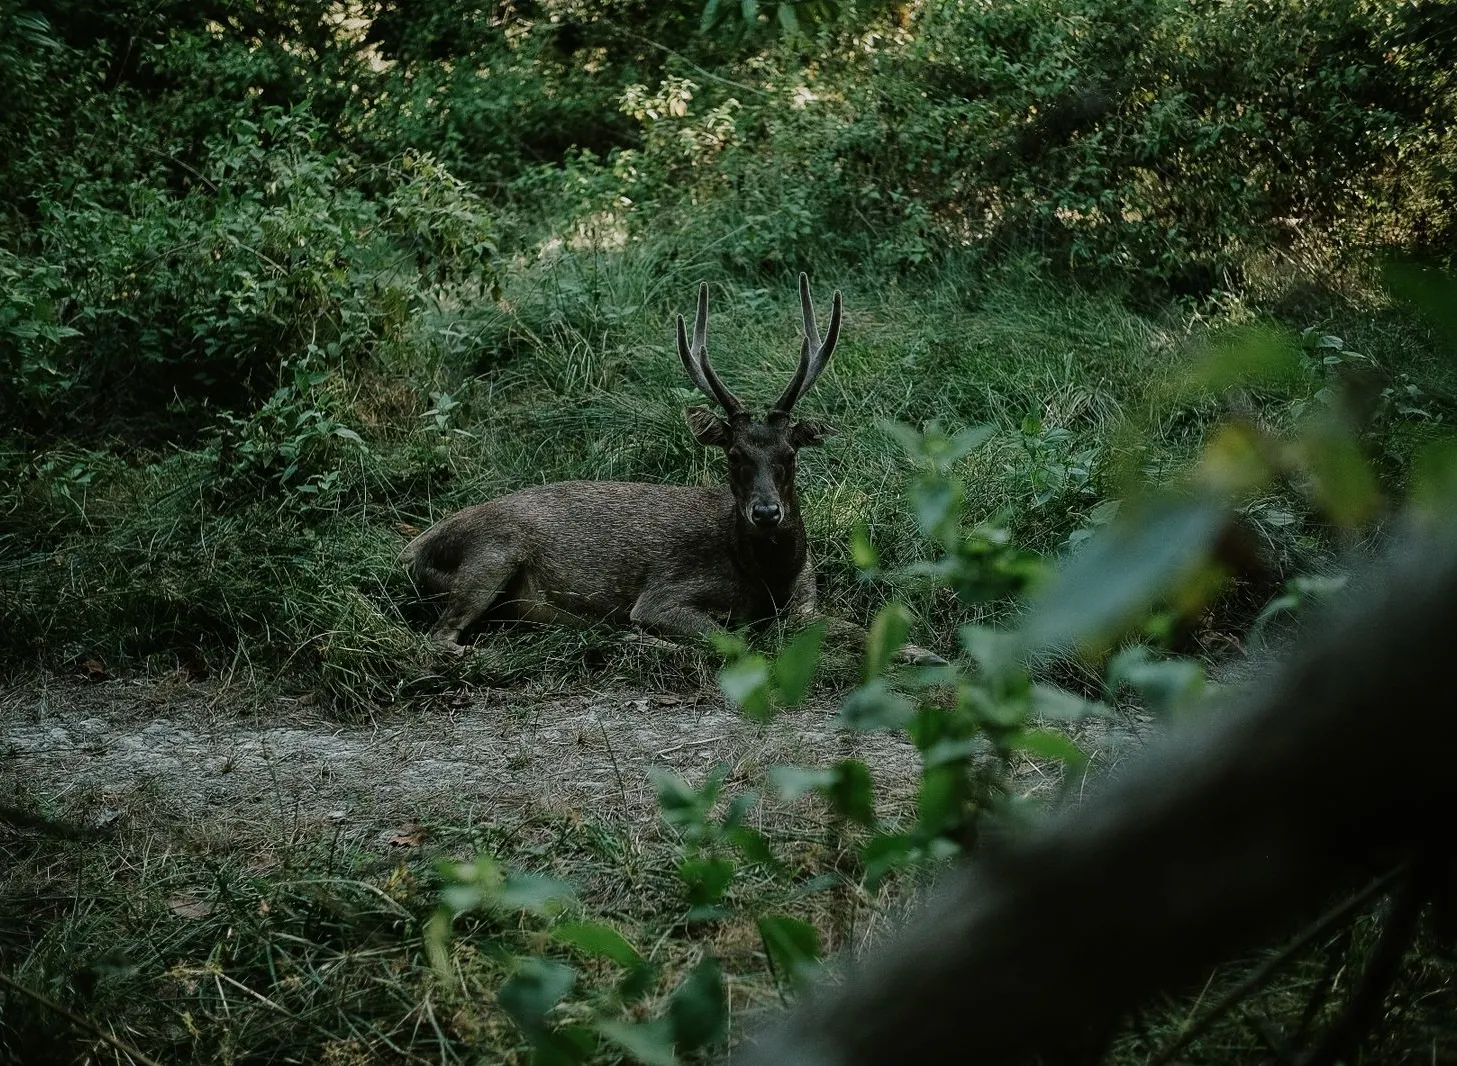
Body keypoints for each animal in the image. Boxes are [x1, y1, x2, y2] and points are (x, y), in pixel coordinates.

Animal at [402, 274, 942, 664]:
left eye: (790, 453)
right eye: (733, 455)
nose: (767, 513)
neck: (764, 578)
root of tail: (409, 551)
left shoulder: (807, 598)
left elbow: (866, 628)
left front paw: (928, 653)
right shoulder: (665, 593)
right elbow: (737, 639)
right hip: (490, 555)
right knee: (437, 639)